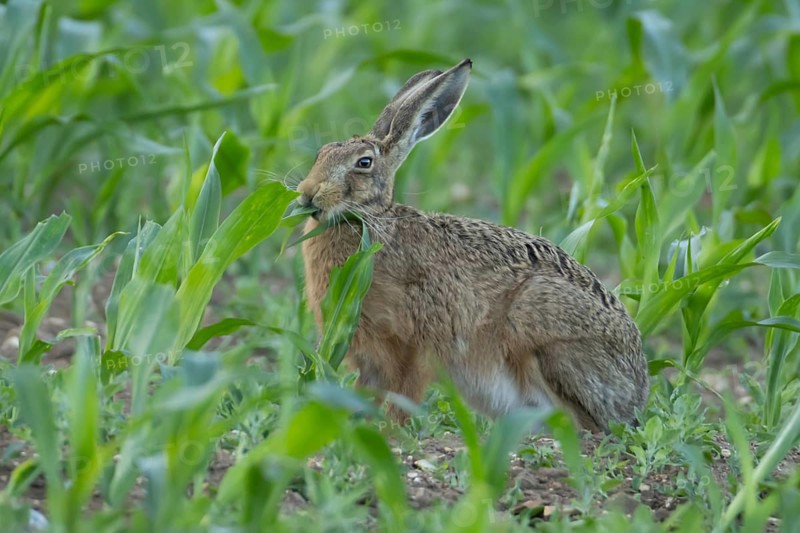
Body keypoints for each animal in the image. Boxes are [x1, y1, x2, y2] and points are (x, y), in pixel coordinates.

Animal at [297, 58, 649, 432]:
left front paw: (392, 432)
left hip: (542, 327)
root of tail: (636, 394)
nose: (306, 193)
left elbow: (403, 396)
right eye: (321, 154)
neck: (369, 218)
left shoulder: (412, 346)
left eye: (363, 163)